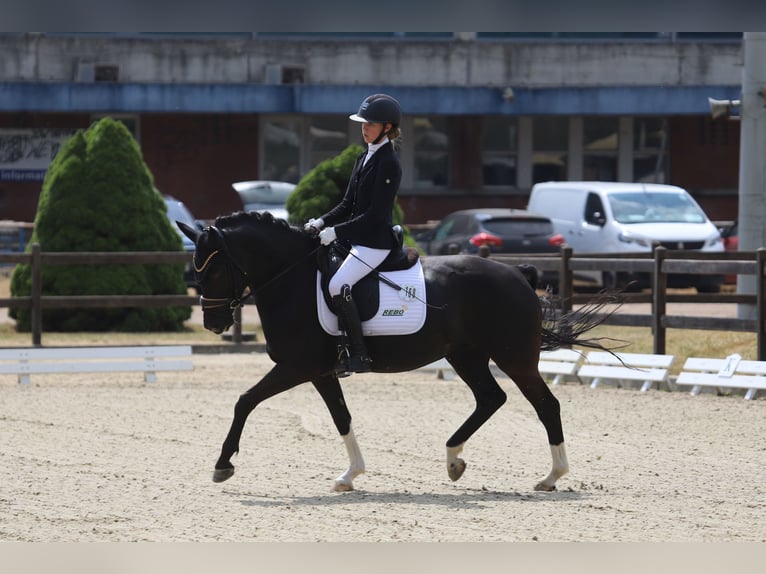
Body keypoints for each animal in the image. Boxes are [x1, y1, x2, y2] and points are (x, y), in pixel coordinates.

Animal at [180, 214, 616, 492]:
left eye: (212, 269)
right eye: (195, 269)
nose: (213, 323)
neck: (293, 279)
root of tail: (517, 274)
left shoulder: (296, 366)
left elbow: (244, 401)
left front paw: (223, 465)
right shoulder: (321, 371)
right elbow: (341, 418)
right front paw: (350, 476)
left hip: (514, 357)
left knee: (545, 404)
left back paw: (551, 477)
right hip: (467, 356)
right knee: (491, 398)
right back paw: (454, 460)